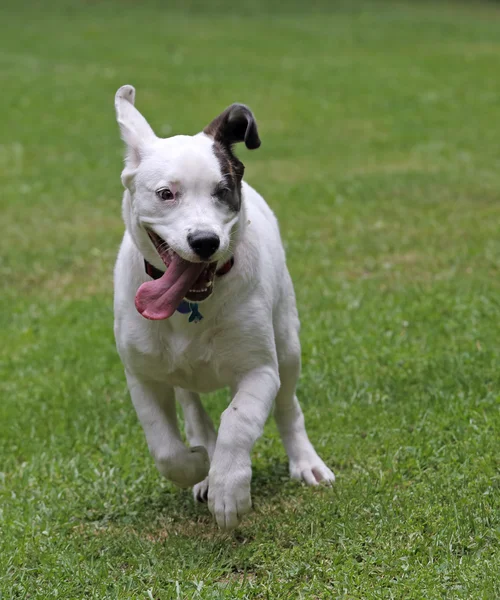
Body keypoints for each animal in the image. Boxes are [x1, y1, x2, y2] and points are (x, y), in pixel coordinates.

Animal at [111, 85, 334, 528]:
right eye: (166, 194)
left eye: (223, 191)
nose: (205, 241)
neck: (189, 306)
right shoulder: (142, 376)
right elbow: (165, 448)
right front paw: (198, 466)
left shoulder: (259, 370)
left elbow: (238, 420)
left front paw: (229, 489)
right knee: (194, 410)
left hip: (288, 343)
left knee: (288, 407)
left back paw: (305, 461)